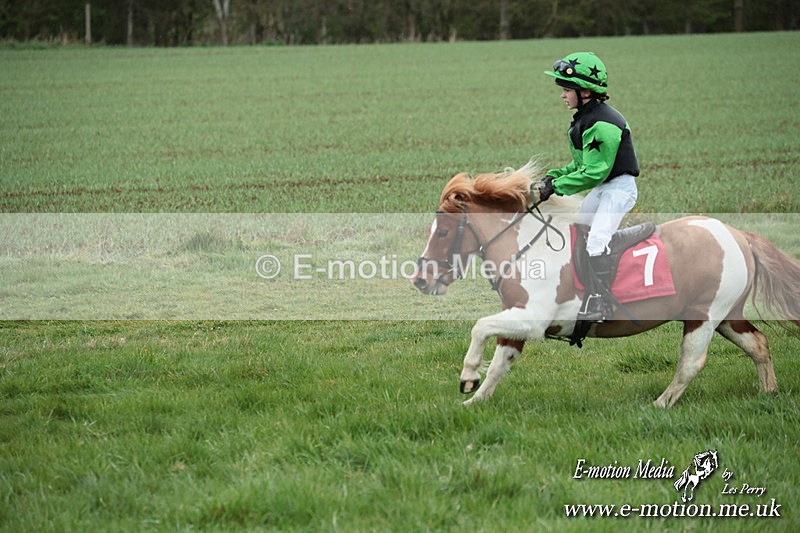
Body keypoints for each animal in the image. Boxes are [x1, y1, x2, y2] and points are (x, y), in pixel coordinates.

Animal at [411, 161, 800, 408]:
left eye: (443, 232)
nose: (421, 280)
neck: (526, 249)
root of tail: (738, 235)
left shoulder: (531, 319)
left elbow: (479, 327)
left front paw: (467, 375)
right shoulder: (516, 319)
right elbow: (499, 364)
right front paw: (475, 399)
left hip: (704, 317)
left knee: (691, 363)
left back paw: (660, 404)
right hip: (727, 316)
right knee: (759, 345)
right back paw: (768, 392)